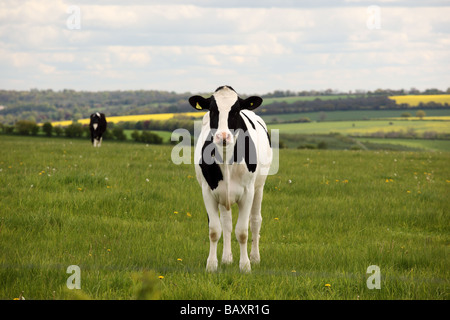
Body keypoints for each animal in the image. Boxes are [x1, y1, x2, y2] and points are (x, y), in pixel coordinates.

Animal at [188, 85, 272, 272]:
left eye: (235, 111)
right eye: (212, 110)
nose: (223, 136)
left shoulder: (248, 192)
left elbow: (242, 231)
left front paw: (245, 266)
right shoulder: (208, 190)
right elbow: (214, 229)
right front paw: (212, 265)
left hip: (259, 188)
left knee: (255, 221)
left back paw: (255, 257)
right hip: (223, 194)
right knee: (226, 223)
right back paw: (226, 258)